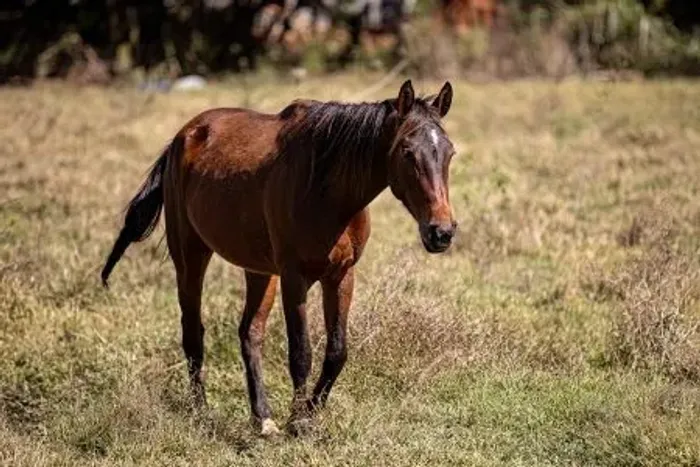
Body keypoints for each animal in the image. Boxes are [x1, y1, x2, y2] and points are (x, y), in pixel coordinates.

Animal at [100, 79, 457, 436]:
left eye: (450, 152)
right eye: (407, 152)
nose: (441, 231)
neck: (328, 190)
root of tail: (183, 136)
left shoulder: (341, 275)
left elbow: (336, 352)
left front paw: (308, 414)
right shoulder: (294, 277)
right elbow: (301, 353)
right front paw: (298, 421)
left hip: (259, 270)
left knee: (249, 333)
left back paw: (262, 417)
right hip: (190, 255)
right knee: (193, 332)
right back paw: (202, 413)